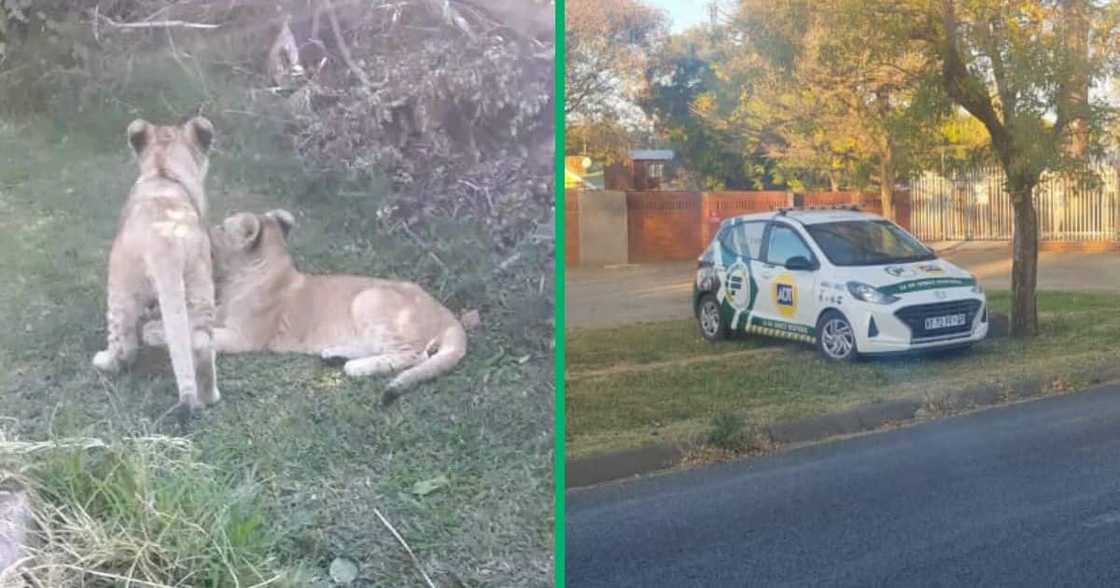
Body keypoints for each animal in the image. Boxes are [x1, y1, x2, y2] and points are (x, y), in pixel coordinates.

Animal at [92, 117, 219, 414]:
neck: (164, 170)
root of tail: (166, 241)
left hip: (120, 285)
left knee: (122, 341)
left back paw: (107, 362)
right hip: (199, 285)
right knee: (202, 344)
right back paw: (209, 397)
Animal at [143, 209, 467, 404]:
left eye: (222, 227)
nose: (202, 229)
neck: (243, 276)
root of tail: (446, 313)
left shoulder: (243, 338)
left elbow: (190, 330)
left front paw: (153, 331)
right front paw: (154, 321)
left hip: (370, 298)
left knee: (413, 355)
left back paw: (355, 368)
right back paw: (335, 355)